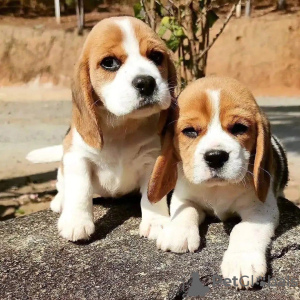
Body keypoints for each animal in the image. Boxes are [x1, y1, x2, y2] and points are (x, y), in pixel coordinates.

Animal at [27, 16, 177, 241]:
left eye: (156, 56)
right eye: (109, 63)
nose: (146, 82)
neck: (122, 127)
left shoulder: (152, 158)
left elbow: (152, 194)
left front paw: (156, 221)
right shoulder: (77, 156)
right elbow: (79, 190)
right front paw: (76, 221)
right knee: (63, 186)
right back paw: (60, 202)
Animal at [148, 76, 288, 288]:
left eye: (239, 128)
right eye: (190, 131)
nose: (215, 157)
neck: (217, 189)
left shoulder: (261, 208)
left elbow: (244, 229)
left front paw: (242, 262)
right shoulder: (183, 196)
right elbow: (185, 210)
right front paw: (177, 233)